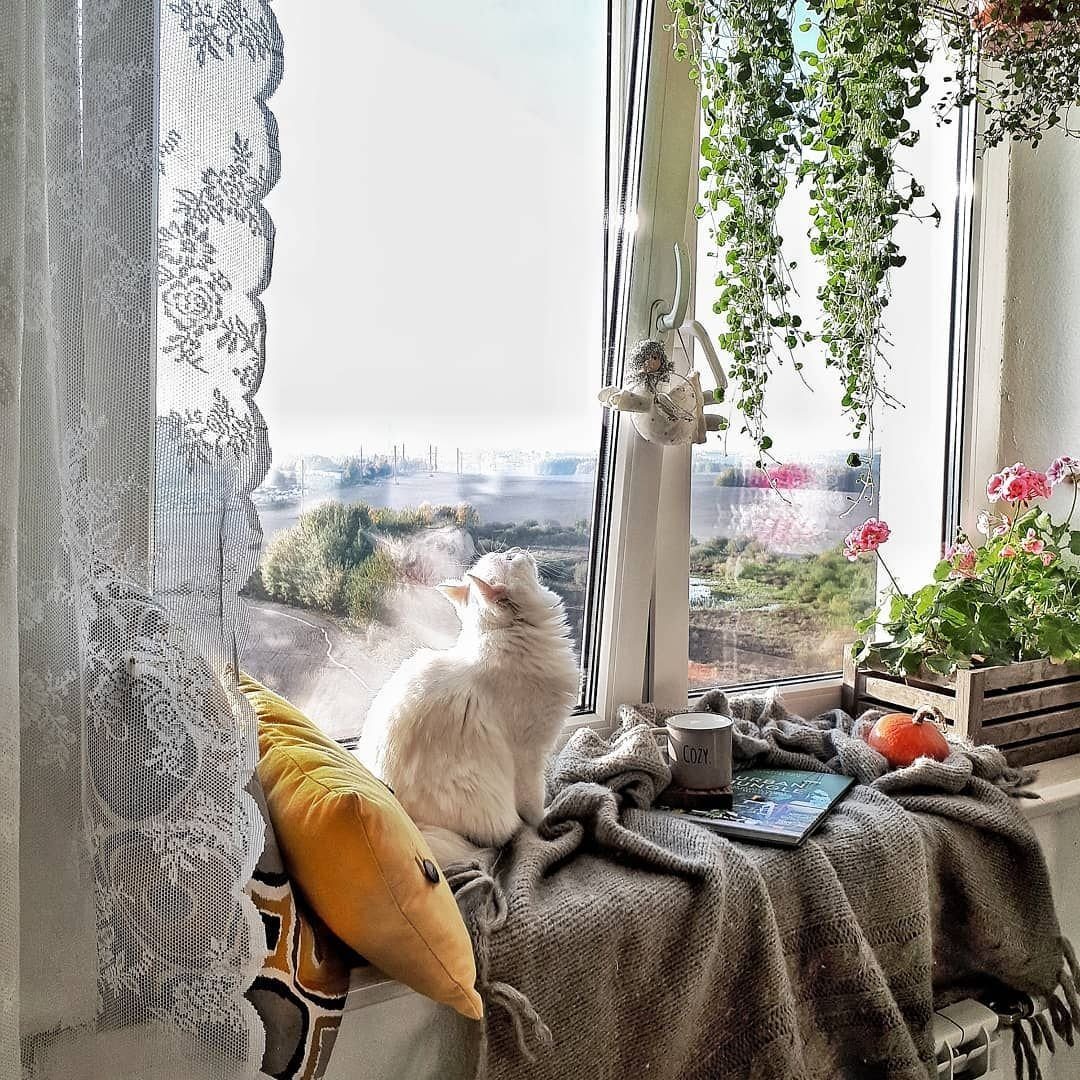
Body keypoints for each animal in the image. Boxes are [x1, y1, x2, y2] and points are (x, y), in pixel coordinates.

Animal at [356, 549, 580, 867]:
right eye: (510, 559)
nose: (519, 550)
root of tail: (412, 823)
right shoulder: (530, 755)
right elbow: (535, 805)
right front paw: (547, 821)